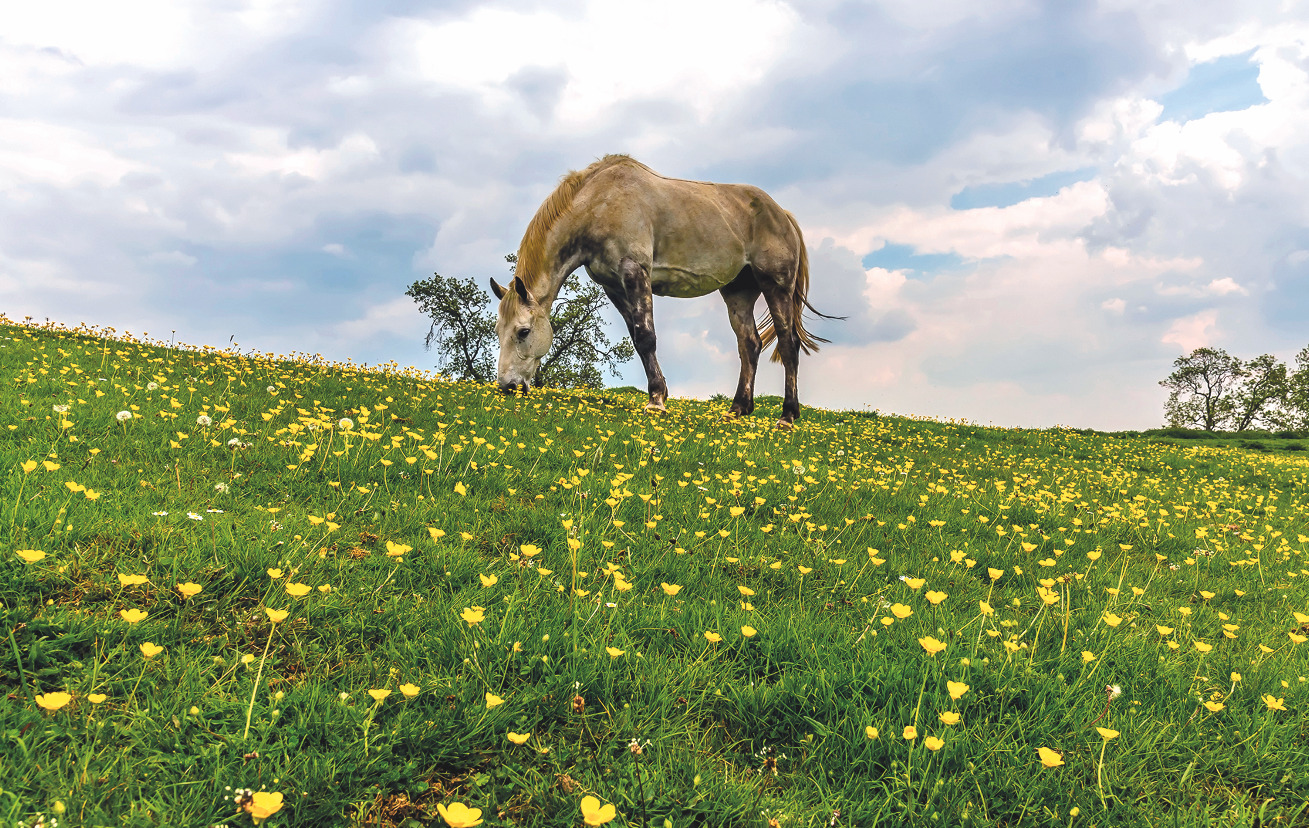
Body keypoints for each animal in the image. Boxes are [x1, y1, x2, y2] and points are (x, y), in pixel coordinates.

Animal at [490, 154, 836, 426]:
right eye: (498, 331)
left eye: (523, 331)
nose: (507, 386)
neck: (601, 204)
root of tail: (782, 214)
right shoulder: (614, 286)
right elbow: (638, 340)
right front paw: (660, 394)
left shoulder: (635, 273)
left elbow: (647, 337)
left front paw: (656, 401)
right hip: (738, 292)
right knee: (749, 345)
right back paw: (737, 409)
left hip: (776, 286)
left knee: (788, 344)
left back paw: (787, 416)